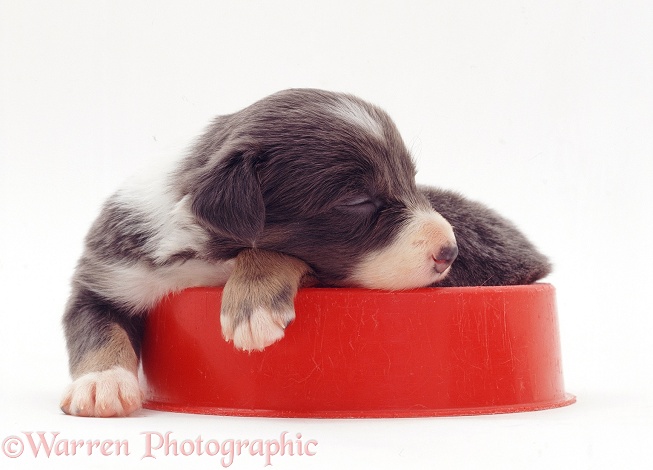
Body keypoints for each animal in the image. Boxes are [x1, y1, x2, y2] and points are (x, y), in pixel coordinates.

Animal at [61, 89, 552, 418]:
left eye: (412, 179)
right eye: (357, 201)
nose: (449, 252)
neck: (201, 252)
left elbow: (269, 252)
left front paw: (251, 307)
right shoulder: (111, 269)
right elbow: (94, 324)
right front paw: (101, 383)